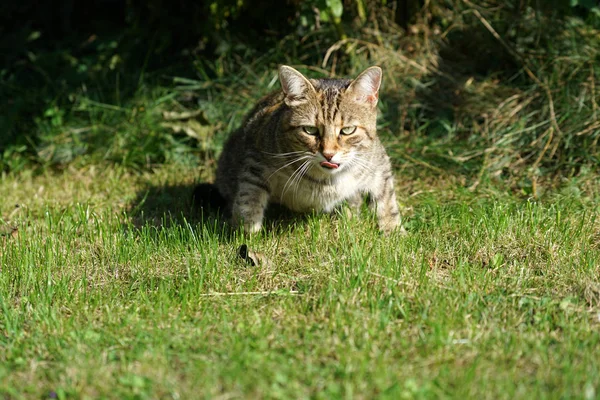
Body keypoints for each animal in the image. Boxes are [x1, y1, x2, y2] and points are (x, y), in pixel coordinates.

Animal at [211, 65, 404, 234]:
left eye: (348, 130)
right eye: (310, 130)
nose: (328, 154)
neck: (326, 181)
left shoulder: (378, 164)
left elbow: (387, 200)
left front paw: (393, 231)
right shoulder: (255, 159)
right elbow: (248, 196)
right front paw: (247, 230)